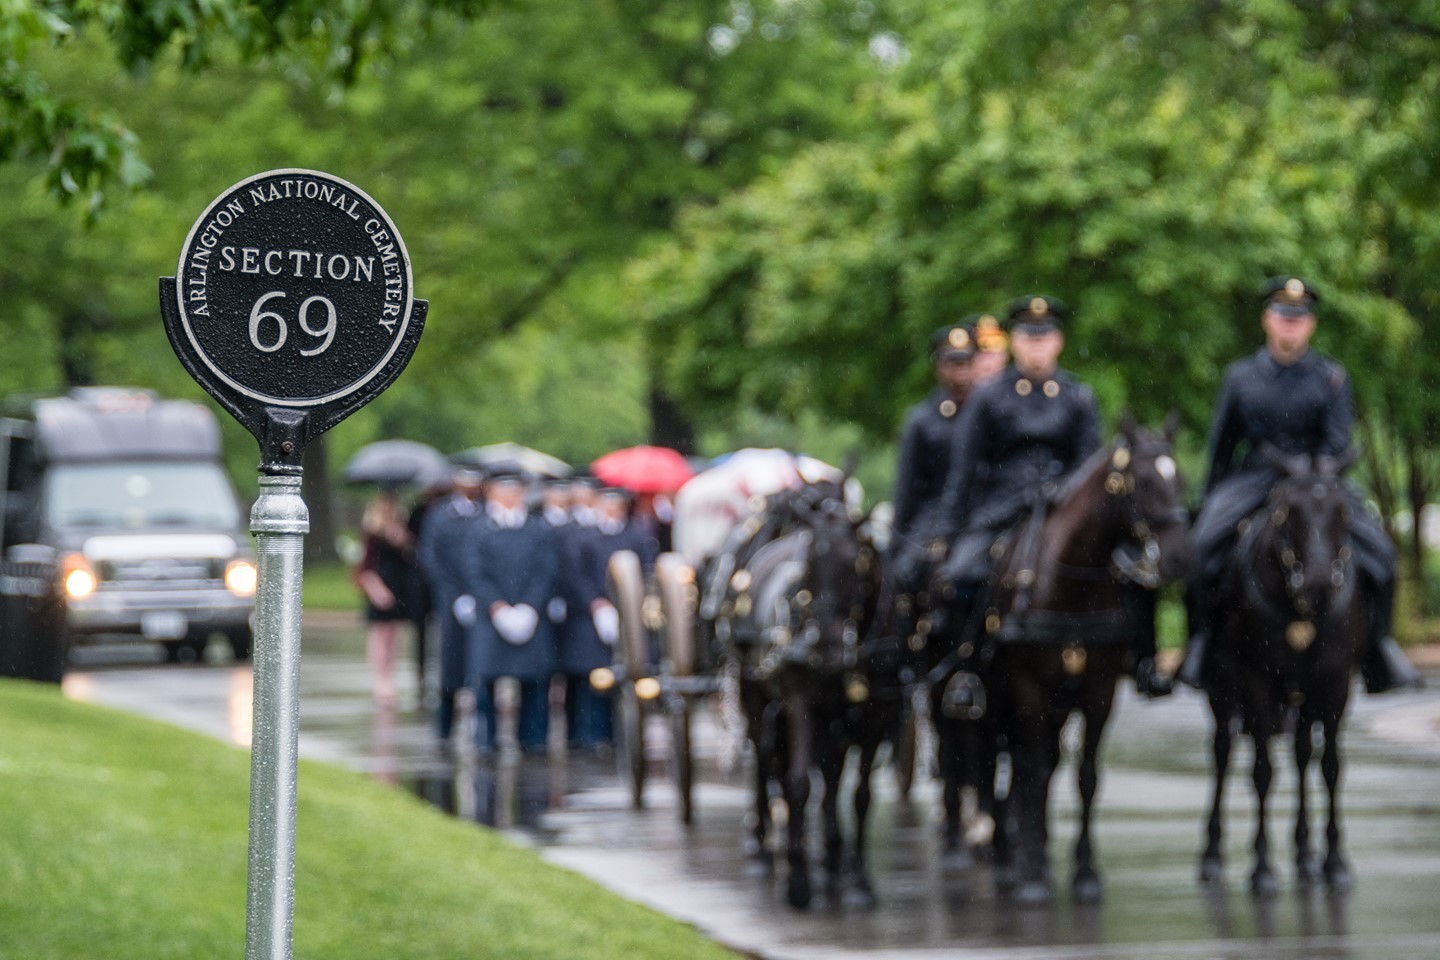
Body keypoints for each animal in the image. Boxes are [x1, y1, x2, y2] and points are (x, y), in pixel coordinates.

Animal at [933, 414, 1192, 909]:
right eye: (1142, 481)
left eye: (1180, 479)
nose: (1178, 558)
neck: (1072, 586)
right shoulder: (1029, 691)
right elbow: (1031, 773)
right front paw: (1033, 874)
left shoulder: (1098, 694)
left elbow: (1084, 778)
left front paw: (1085, 872)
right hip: (984, 698)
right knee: (986, 761)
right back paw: (999, 852)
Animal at [1203, 446, 1359, 898]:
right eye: (1287, 511)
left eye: (1343, 510)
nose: (1320, 584)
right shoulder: (1259, 681)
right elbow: (1262, 771)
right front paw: (1262, 868)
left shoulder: (1335, 684)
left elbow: (1331, 767)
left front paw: (1334, 861)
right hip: (1222, 687)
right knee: (1222, 753)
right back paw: (1212, 857)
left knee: (1304, 752)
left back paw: (1305, 856)